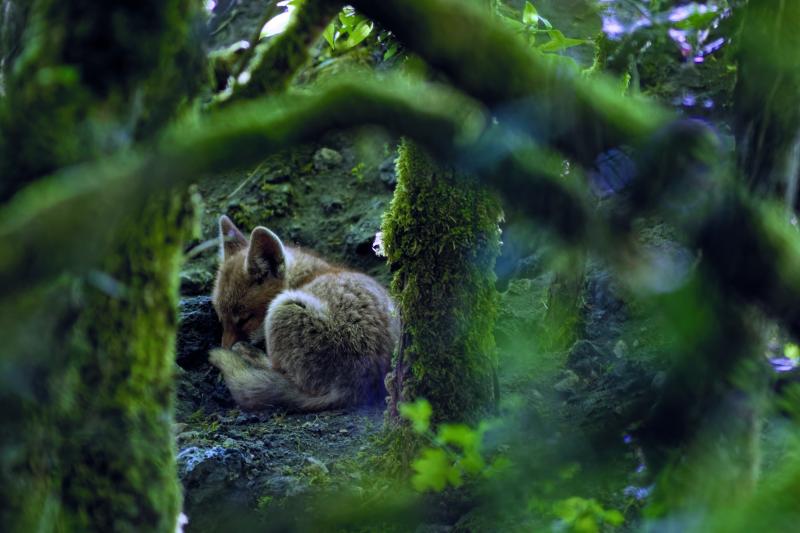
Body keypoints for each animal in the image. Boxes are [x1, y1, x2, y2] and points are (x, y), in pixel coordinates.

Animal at [208, 215, 400, 412]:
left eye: (245, 320)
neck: (304, 277)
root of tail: (354, 390)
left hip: (284, 307)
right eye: (221, 319)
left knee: (278, 373)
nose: (223, 348)